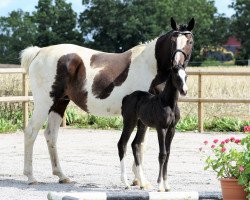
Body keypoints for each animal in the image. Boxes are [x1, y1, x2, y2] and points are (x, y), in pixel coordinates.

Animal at [20, 17, 194, 184]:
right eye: (173, 40)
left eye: (190, 41)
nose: (177, 65)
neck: (150, 66)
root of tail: (39, 52)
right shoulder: (143, 117)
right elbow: (138, 145)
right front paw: (141, 180)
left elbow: (141, 145)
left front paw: (137, 179)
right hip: (44, 103)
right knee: (31, 132)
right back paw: (31, 177)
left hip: (59, 103)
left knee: (51, 135)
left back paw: (62, 176)